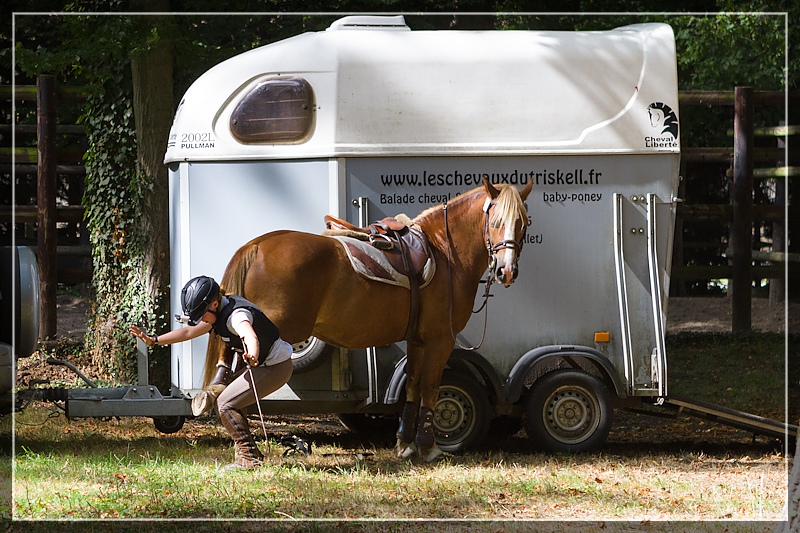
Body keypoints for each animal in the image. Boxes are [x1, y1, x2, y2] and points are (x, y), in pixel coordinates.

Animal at [205, 177, 532, 460]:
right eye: (495, 221)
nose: (507, 271)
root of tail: (256, 245)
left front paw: (405, 444)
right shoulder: (441, 340)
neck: (445, 254)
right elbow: (430, 387)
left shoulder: (418, 340)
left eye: (523, 223)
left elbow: (413, 385)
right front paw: (429, 447)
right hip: (264, 339)